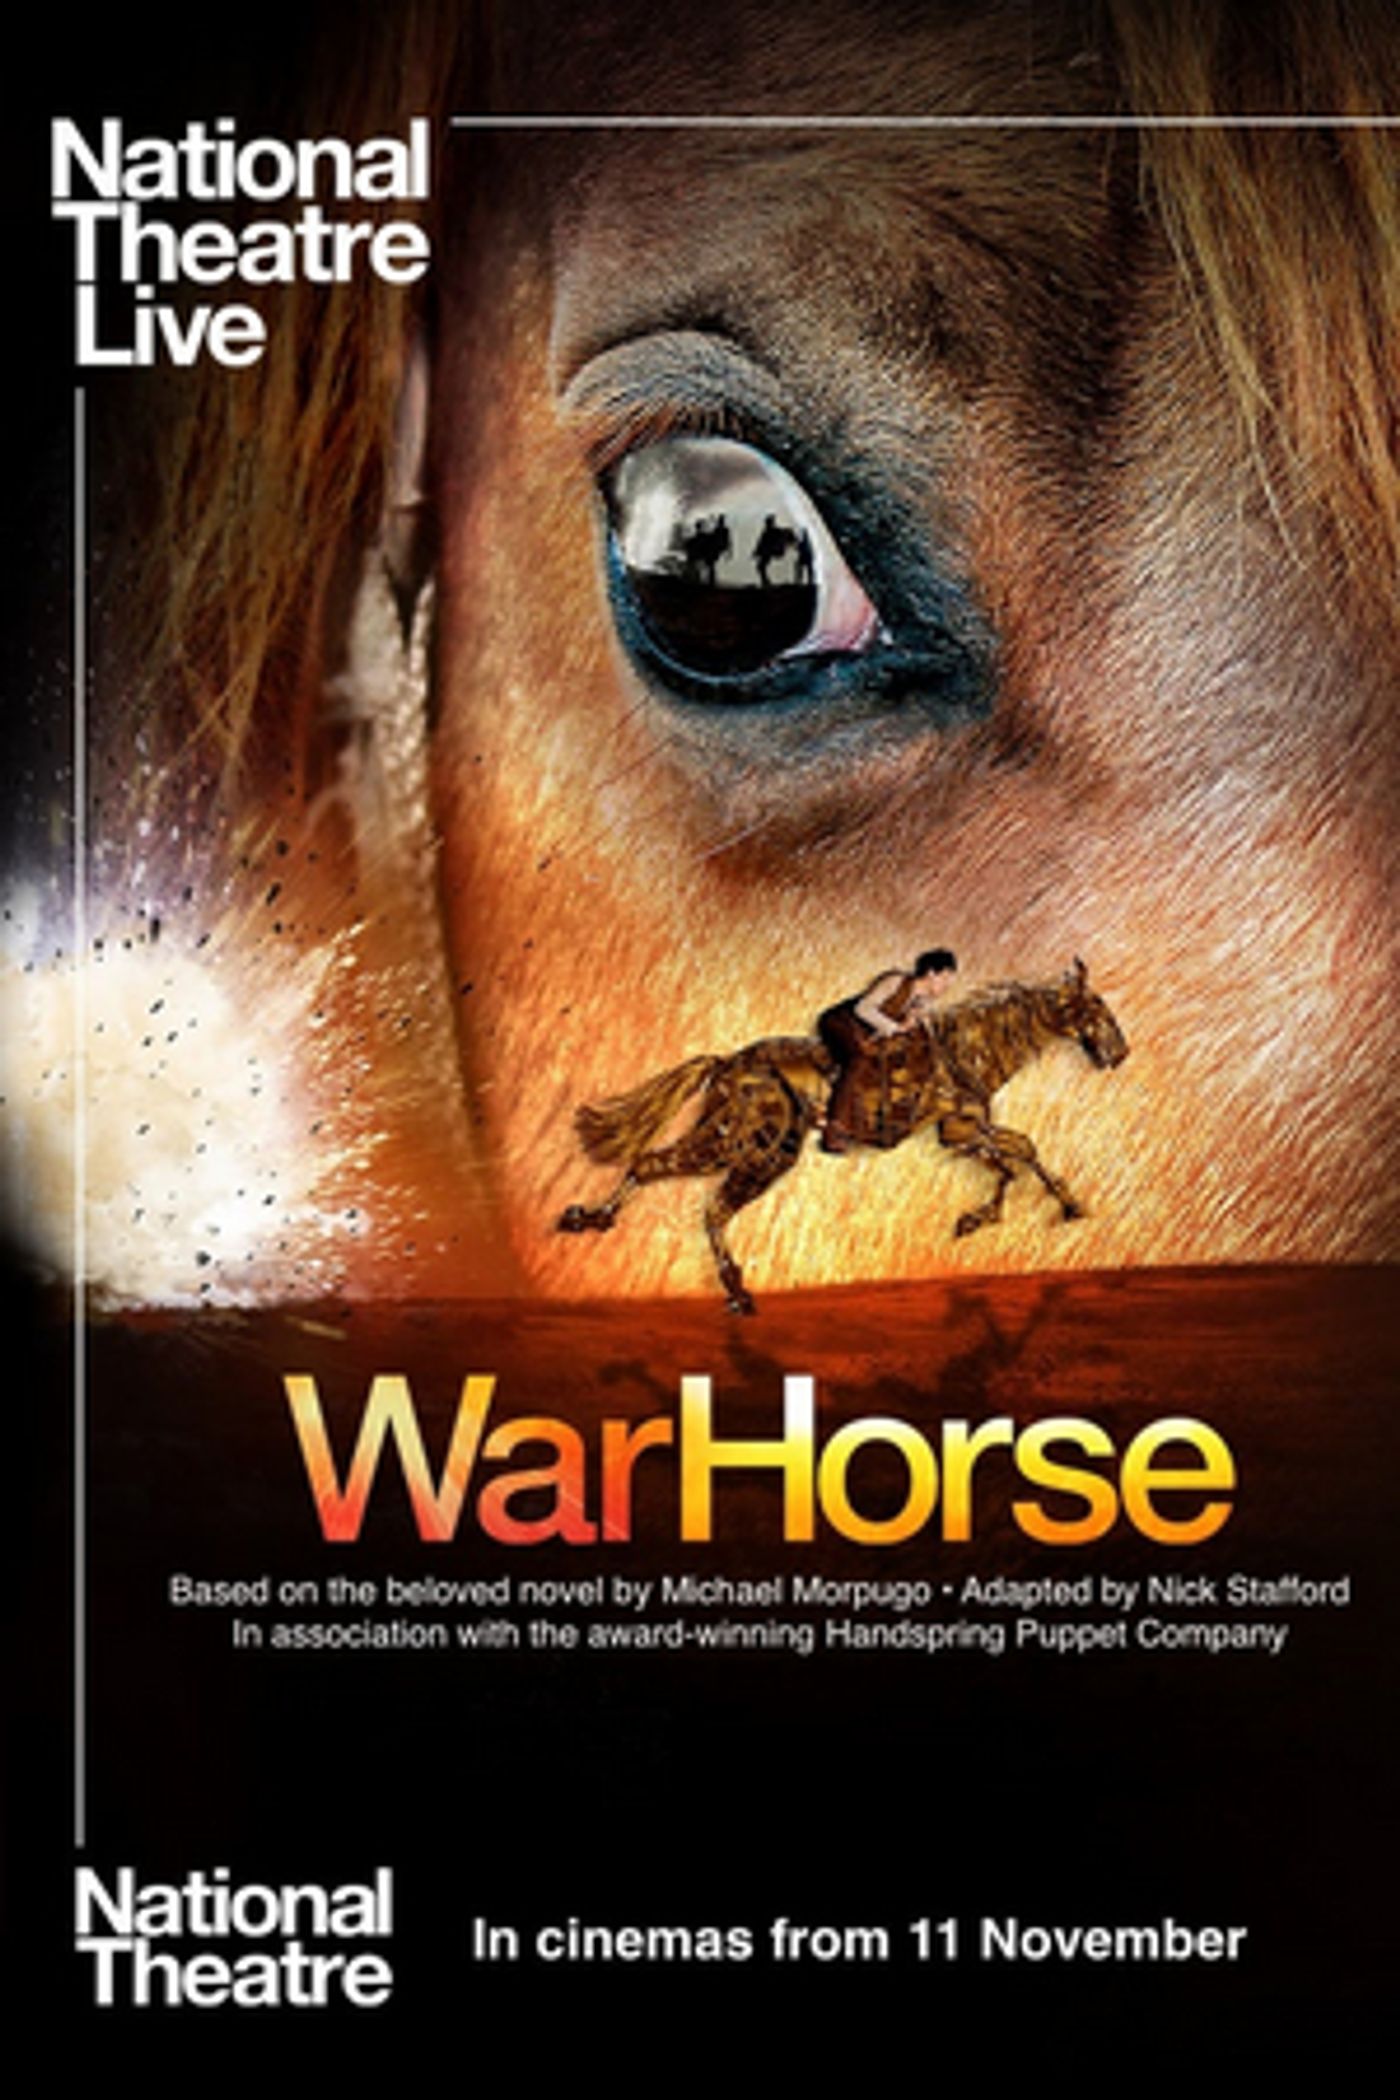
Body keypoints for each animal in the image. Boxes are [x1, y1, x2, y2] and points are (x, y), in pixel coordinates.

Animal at [557, 962, 1128, 1311]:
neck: (970, 1048)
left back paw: (593, 1220)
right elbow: (1021, 1151)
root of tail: (727, 1063)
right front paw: (1063, 1206)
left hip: (742, 1142)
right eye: (1097, 1010)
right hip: (754, 1147)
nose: (1120, 1055)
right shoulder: (959, 1128)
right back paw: (734, 1291)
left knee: (662, 1172)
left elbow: (1009, 1160)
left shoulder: (957, 1133)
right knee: (695, 1194)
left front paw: (984, 1218)